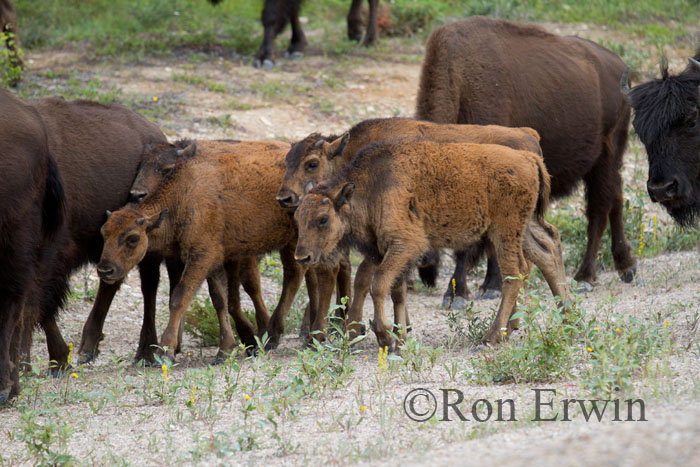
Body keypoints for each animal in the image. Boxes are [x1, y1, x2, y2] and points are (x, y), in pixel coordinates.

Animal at [208, 0, 378, 69]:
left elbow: (270, 15)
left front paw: (265, 58)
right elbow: (292, 10)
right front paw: (297, 45)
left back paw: (369, 40)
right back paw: (354, 31)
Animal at [292, 141, 568, 350]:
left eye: (323, 219)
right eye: (297, 216)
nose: (302, 257)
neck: (372, 186)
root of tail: (529, 158)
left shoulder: (405, 245)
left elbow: (378, 285)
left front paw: (385, 337)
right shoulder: (388, 252)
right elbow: (397, 291)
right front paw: (400, 339)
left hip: (505, 231)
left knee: (515, 273)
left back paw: (492, 337)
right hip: (523, 227)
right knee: (548, 250)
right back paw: (566, 317)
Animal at [418, 17, 636, 300]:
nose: (423, 264)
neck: (462, 83)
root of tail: (620, 66)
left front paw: (471, 290)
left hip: (607, 157)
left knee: (598, 211)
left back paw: (585, 277)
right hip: (606, 164)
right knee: (615, 200)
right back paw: (626, 267)